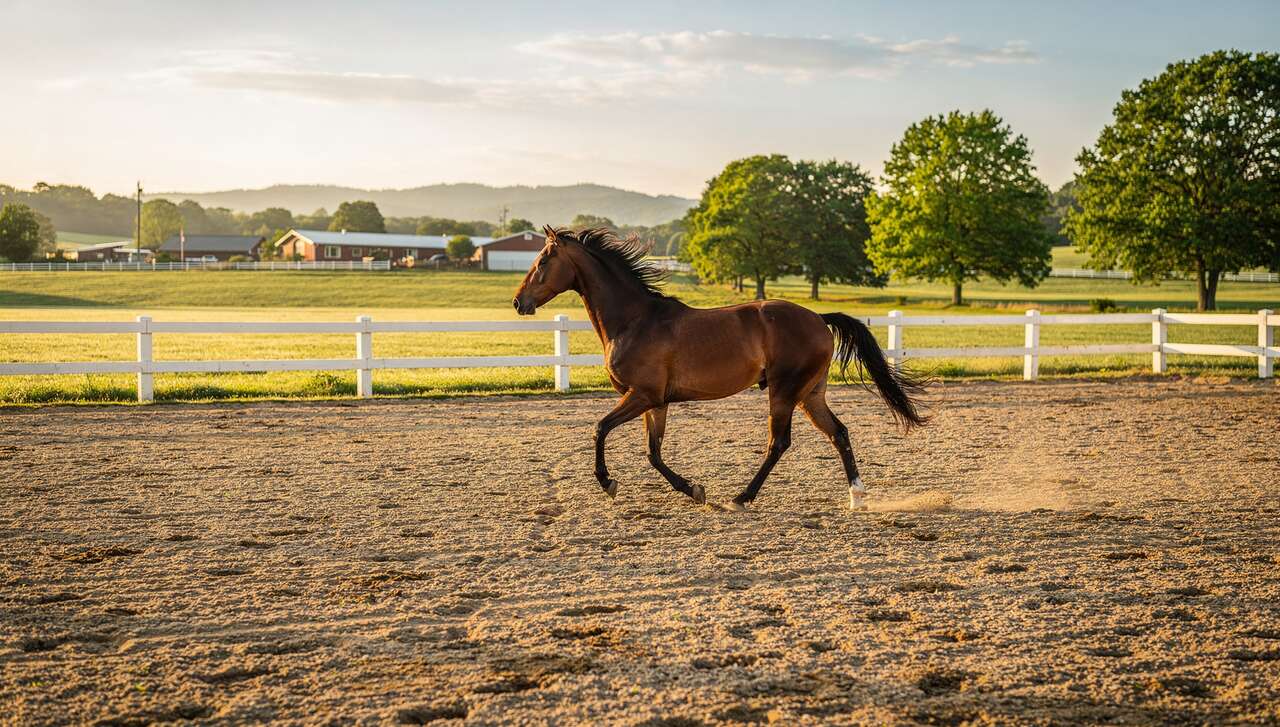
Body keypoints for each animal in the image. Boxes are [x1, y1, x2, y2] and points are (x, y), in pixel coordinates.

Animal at [512, 227, 927, 511]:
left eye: (543, 262)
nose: (519, 302)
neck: (635, 320)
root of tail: (818, 319)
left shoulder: (642, 395)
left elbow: (600, 429)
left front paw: (607, 483)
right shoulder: (657, 402)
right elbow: (653, 453)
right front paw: (694, 490)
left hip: (785, 391)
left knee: (779, 442)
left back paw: (743, 496)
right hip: (811, 393)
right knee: (838, 433)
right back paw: (857, 497)